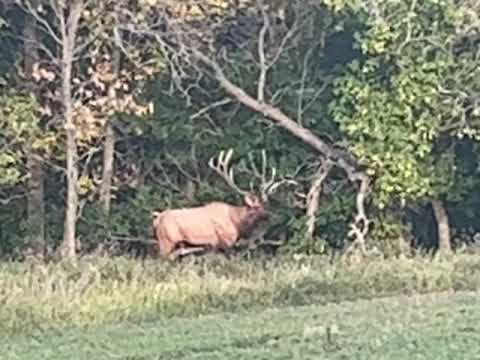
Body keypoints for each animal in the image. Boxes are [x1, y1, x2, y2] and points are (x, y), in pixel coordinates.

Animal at [152, 149, 294, 258]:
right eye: (259, 206)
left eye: (268, 203)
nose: (275, 216)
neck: (237, 221)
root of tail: (157, 219)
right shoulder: (224, 242)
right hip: (166, 241)